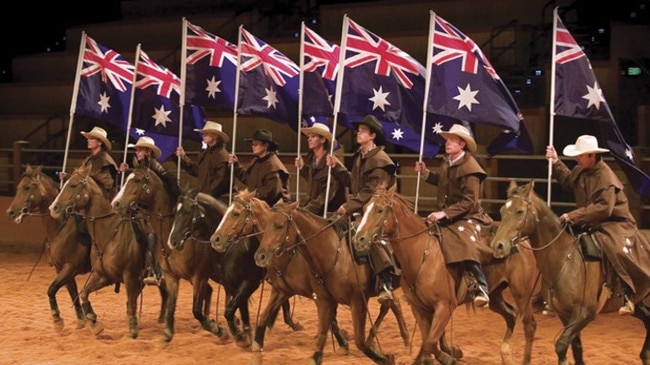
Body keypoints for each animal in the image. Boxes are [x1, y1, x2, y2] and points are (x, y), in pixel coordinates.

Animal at [5, 164, 90, 330]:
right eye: (18, 187)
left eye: (27, 187)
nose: (10, 212)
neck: (62, 228)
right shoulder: (61, 269)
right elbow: (72, 293)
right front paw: (81, 320)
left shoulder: (70, 267)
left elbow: (51, 289)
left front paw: (57, 319)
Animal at [48, 165, 158, 338]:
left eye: (73, 185)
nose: (53, 208)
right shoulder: (103, 276)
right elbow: (82, 293)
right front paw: (93, 322)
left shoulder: (129, 276)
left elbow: (131, 301)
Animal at [210, 191, 408, 358]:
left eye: (236, 213)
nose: (216, 239)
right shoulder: (283, 290)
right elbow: (265, 315)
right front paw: (256, 340)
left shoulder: (317, 295)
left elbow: (331, 320)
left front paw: (342, 343)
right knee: (393, 303)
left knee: (392, 303)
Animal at [352, 183, 540, 364]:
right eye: (365, 208)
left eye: (379, 209)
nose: (358, 239)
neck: (423, 254)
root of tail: (521, 240)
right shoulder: (419, 309)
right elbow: (428, 343)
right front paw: (441, 355)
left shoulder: (444, 307)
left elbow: (430, 342)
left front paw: (448, 356)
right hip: (495, 296)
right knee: (511, 315)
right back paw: (506, 354)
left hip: (522, 293)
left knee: (527, 322)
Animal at [492, 180, 648, 364]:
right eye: (502, 211)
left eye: (520, 211)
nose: (497, 245)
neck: (565, 261)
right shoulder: (565, 315)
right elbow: (576, 349)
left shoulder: (584, 314)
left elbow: (561, 345)